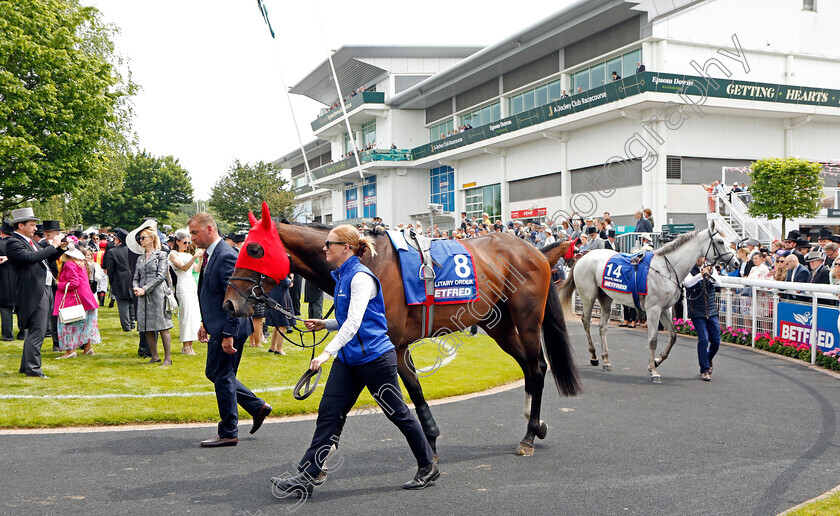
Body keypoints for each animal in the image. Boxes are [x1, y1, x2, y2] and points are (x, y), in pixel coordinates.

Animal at [221, 204, 584, 458]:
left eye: (254, 249)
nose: (229, 303)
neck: (368, 261)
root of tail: (537, 252)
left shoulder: (392, 346)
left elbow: (405, 395)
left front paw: (428, 447)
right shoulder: (396, 348)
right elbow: (414, 394)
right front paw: (430, 442)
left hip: (526, 321)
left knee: (537, 367)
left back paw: (529, 435)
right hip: (499, 325)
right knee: (528, 367)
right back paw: (536, 425)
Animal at [560, 222, 740, 382]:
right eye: (720, 241)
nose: (736, 262)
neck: (667, 269)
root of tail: (583, 257)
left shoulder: (665, 309)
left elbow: (673, 336)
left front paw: (657, 361)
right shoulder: (653, 310)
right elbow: (652, 340)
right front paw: (653, 371)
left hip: (606, 298)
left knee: (603, 328)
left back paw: (606, 361)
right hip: (589, 296)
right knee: (586, 322)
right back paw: (594, 356)